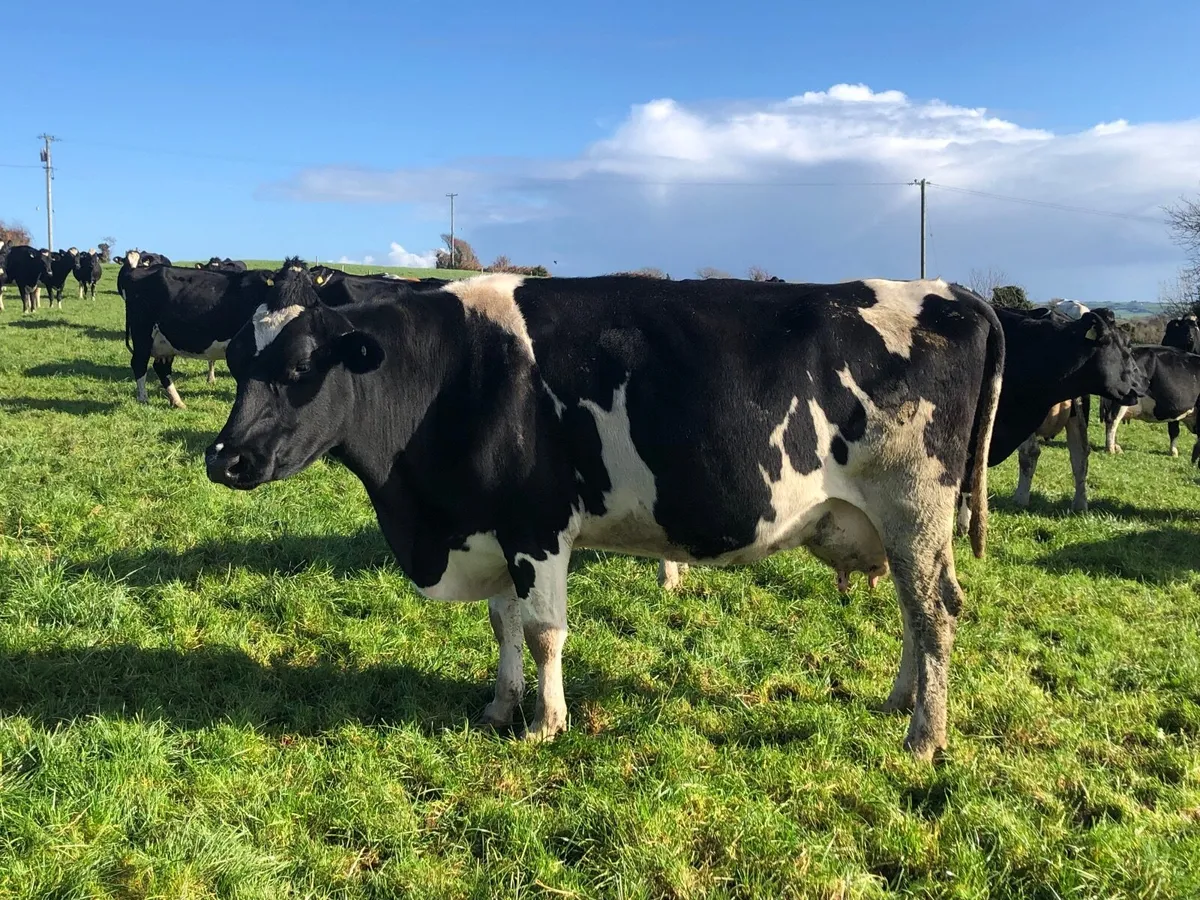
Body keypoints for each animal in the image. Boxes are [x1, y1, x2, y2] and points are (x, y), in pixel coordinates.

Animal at [122, 260, 274, 407]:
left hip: (165, 342)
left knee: (161, 368)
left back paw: (177, 402)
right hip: (142, 333)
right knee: (139, 363)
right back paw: (143, 399)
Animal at [205, 265, 1006, 761]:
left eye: (300, 367)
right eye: (240, 362)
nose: (225, 459)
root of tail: (952, 292)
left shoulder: (537, 526)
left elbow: (543, 632)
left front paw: (545, 725)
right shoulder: (495, 527)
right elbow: (503, 624)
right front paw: (500, 708)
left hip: (914, 501)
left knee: (934, 611)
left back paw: (923, 738)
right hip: (902, 521)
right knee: (914, 609)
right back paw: (900, 701)